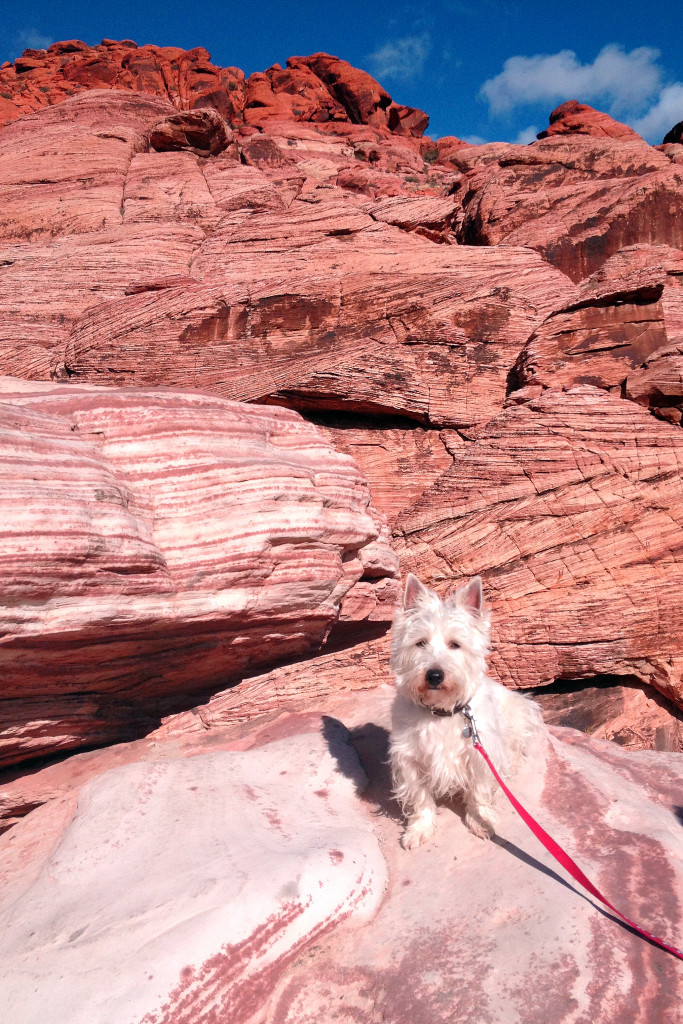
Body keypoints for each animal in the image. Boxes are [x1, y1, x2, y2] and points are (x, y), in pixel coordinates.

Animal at [389, 577, 544, 847]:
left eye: (455, 645)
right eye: (420, 643)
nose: (434, 675)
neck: (440, 712)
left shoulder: (480, 753)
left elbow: (479, 792)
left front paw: (481, 821)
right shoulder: (409, 759)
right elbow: (419, 797)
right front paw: (419, 830)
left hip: (519, 713)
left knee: (517, 748)